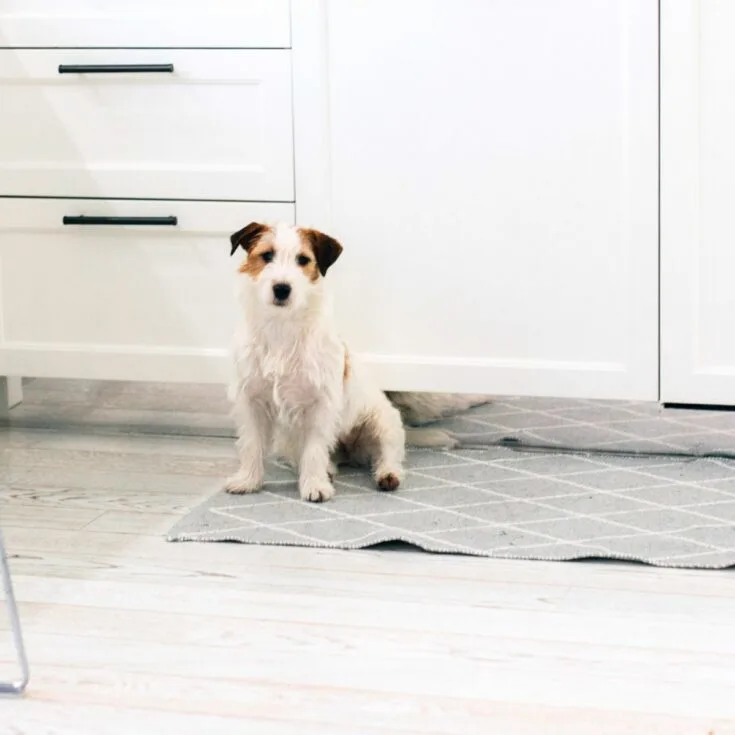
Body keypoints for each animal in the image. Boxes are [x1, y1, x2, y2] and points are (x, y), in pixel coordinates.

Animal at [224, 221, 488, 504]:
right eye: (267, 256)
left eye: (303, 260)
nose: (282, 288)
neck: (282, 330)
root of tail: (349, 452)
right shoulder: (253, 402)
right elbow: (252, 445)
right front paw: (248, 481)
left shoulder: (320, 406)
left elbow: (314, 449)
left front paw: (314, 485)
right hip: (288, 439)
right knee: (308, 457)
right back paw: (329, 469)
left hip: (383, 424)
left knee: (387, 455)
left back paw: (387, 475)